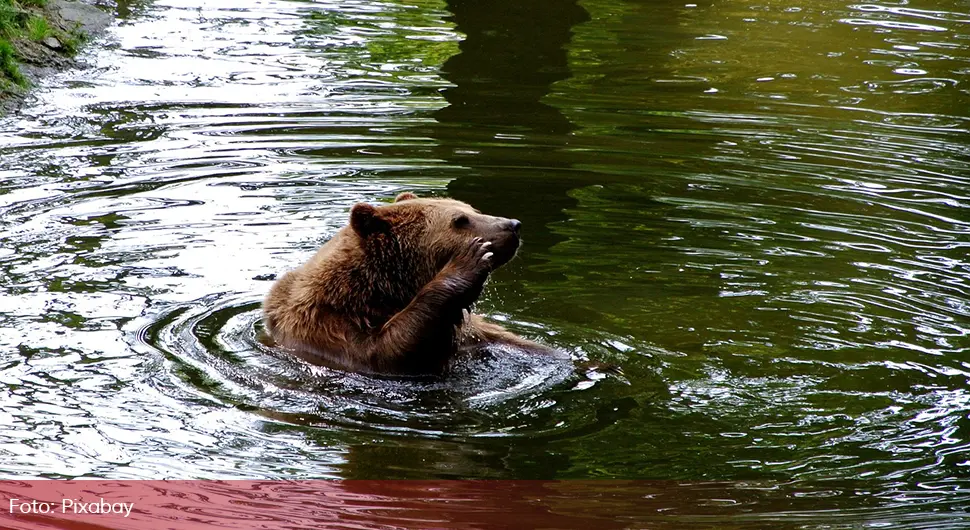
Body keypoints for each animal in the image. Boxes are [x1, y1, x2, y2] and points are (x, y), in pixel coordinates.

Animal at [260, 192, 556, 374]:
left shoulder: (475, 334)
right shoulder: (329, 328)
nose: (513, 225)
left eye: (472, 209)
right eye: (460, 221)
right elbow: (388, 350)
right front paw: (469, 262)